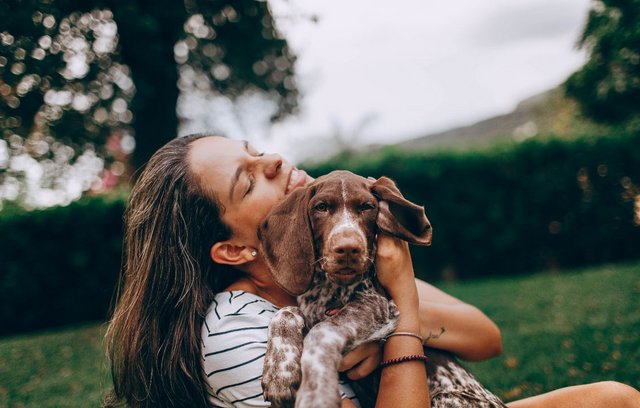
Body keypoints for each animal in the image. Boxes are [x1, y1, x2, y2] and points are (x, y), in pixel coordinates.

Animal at [256, 171, 504, 406]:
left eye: (367, 207)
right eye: (321, 207)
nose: (349, 248)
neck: (328, 289)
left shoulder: (377, 306)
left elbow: (321, 332)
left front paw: (316, 392)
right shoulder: (309, 309)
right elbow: (285, 313)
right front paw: (280, 371)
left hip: (447, 397)